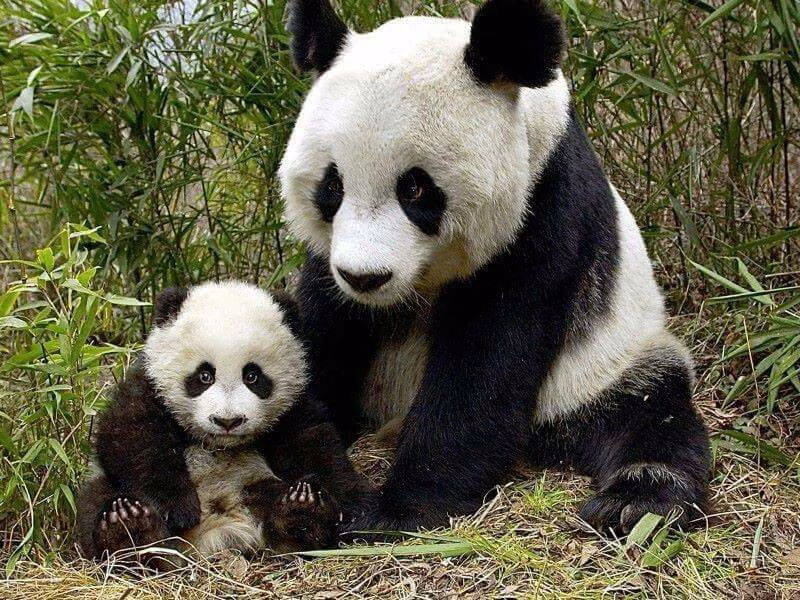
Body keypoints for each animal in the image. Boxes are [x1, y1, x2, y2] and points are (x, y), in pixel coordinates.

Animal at [76, 281, 370, 562]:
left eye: (252, 376)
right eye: (204, 375)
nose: (228, 421)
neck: (218, 444)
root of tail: (218, 533)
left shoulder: (294, 404)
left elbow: (314, 444)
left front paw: (349, 509)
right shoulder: (149, 386)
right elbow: (132, 437)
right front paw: (176, 509)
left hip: (254, 485)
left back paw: (302, 515)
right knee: (97, 501)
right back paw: (130, 530)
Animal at [278, 0, 711, 534]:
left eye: (414, 188)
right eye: (332, 186)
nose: (365, 277)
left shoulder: (544, 210)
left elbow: (487, 361)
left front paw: (398, 511)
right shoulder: (330, 264)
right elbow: (323, 331)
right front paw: (314, 488)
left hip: (606, 363)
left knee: (650, 410)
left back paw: (635, 500)